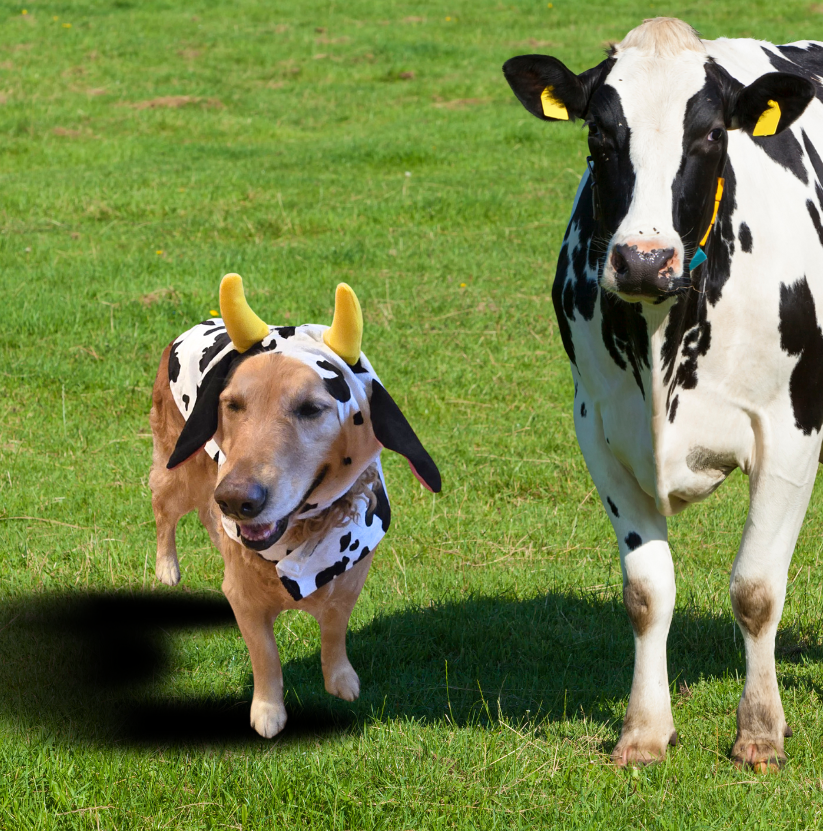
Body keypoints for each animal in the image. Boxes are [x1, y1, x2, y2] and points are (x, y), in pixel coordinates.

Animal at [503, 17, 823, 769]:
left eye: (709, 135)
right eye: (598, 136)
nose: (644, 260)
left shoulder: (791, 427)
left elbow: (756, 588)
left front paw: (759, 730)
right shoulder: (600, 429)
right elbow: (647, 591)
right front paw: (645, 730)